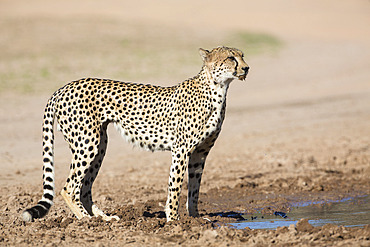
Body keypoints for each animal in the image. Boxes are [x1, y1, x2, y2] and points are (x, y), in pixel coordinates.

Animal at [22, 45, 249, 222]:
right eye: (231, 58)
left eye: (242, 55)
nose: (246, 68)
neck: (217, 89)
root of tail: (63, 87)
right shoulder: (181, 150)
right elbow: (175, 186)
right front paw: (174, 221)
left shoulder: (200, 153)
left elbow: (194, 188)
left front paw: (195, 219)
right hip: (88, 143)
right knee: (69, 187)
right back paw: (87, 220)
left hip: (100, 145)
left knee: (84, 188)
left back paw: (103, 219)